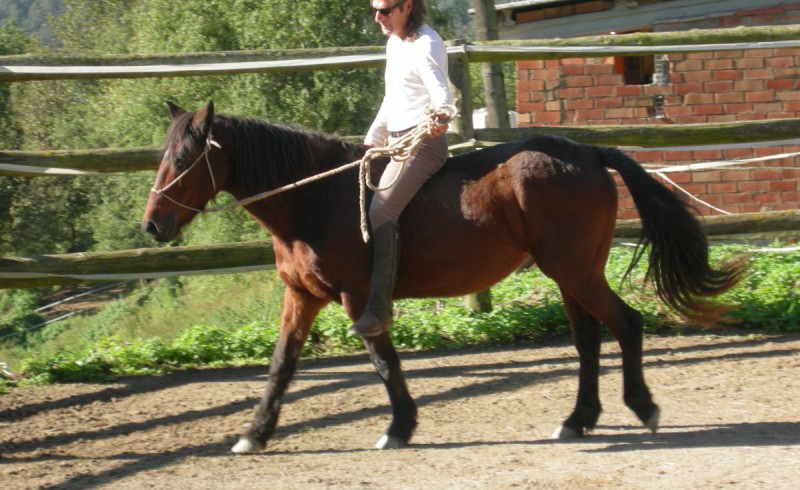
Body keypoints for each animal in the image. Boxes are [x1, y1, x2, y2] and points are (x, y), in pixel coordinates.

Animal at [142, 101, 744, 454]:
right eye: (163, 155)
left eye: (185, 158)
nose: (153, 224)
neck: (315, 200)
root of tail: (589, 153)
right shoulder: (302, 297)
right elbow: (281, 366)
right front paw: (254, 433)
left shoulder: (358, 297)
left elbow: (383, 360)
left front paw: (399, 427)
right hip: (571, 272)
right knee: (588, 339)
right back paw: (577, 420)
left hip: (573, 268)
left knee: (626, 324)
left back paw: (643, 409)